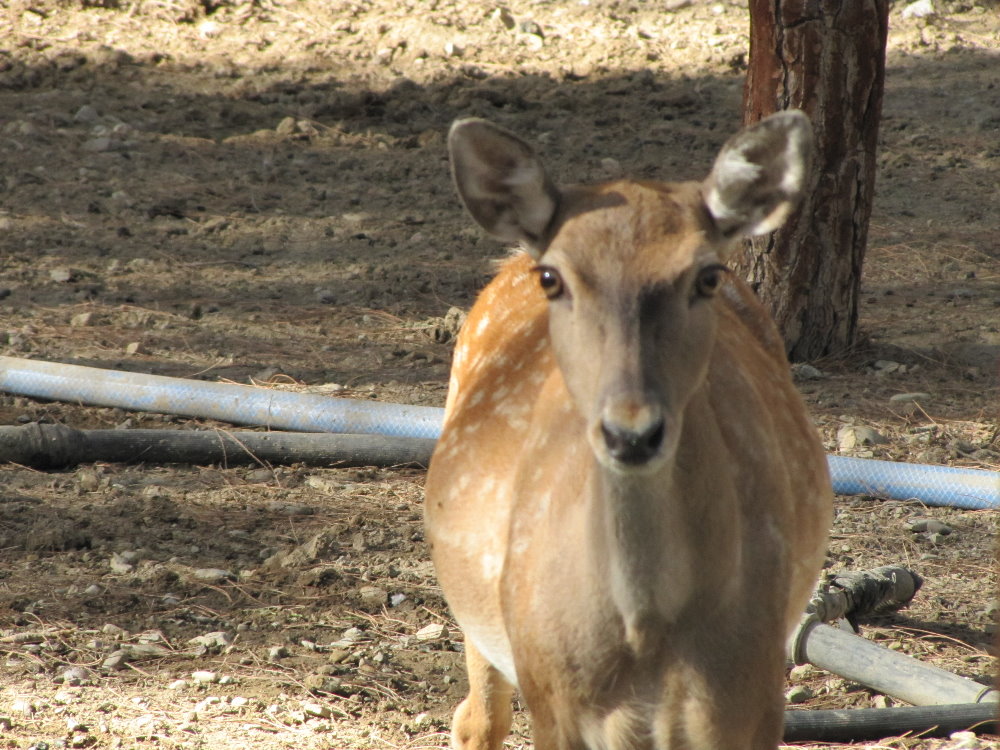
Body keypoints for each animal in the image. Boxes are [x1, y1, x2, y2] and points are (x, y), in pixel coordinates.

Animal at [423, 111, 833, 750]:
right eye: (553, 278)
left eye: (706, 276)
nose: (632, 433)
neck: (645, 631)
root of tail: (511, 254)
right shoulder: (552, 702)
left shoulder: (753, 696)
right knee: (477, 717)